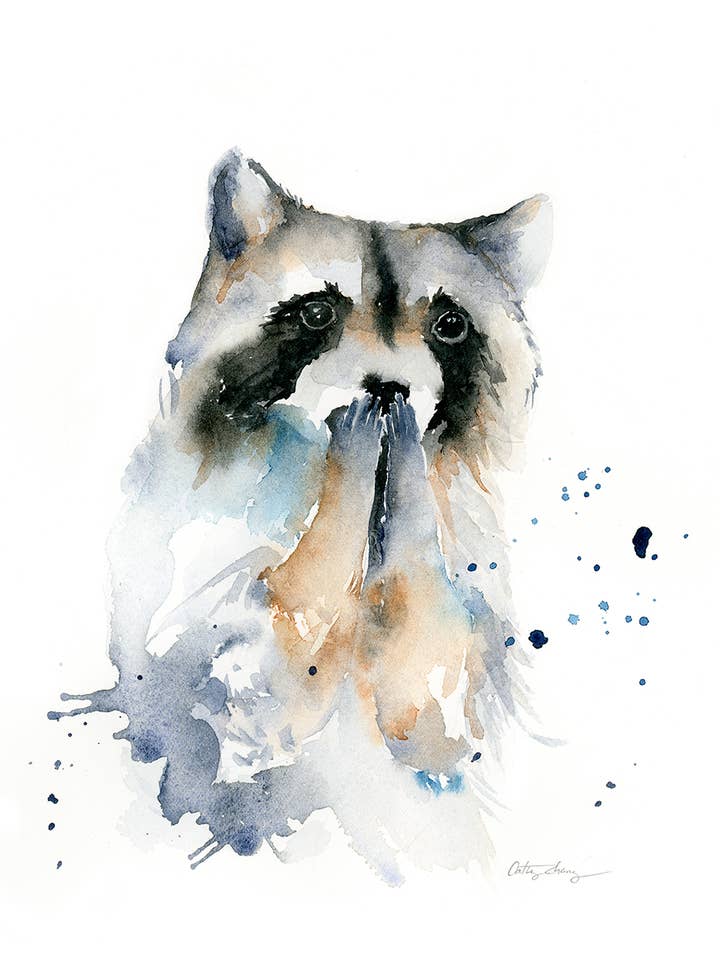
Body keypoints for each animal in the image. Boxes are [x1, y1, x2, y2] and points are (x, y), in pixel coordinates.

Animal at [62, 151, 551, 878]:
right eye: (316, 312)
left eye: (449, 325)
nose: (389, 391)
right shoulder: (180, 547)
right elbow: (233, 687)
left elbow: (432, 715)